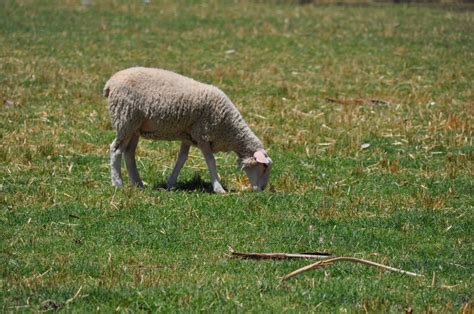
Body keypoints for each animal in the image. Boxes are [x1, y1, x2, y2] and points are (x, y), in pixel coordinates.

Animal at [104, 67, 274, 193]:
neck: (229, 127)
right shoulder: (203, 133)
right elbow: (210, 161)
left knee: (129, 153)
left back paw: (138, 183)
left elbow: (182, 159)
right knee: (116, 150)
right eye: (265, 167)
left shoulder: (187, 136)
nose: (262, 190)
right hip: (126, 119)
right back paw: (117, 183)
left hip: (135, 127)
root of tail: (110, 82)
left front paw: (171, 183)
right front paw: (219, 188)